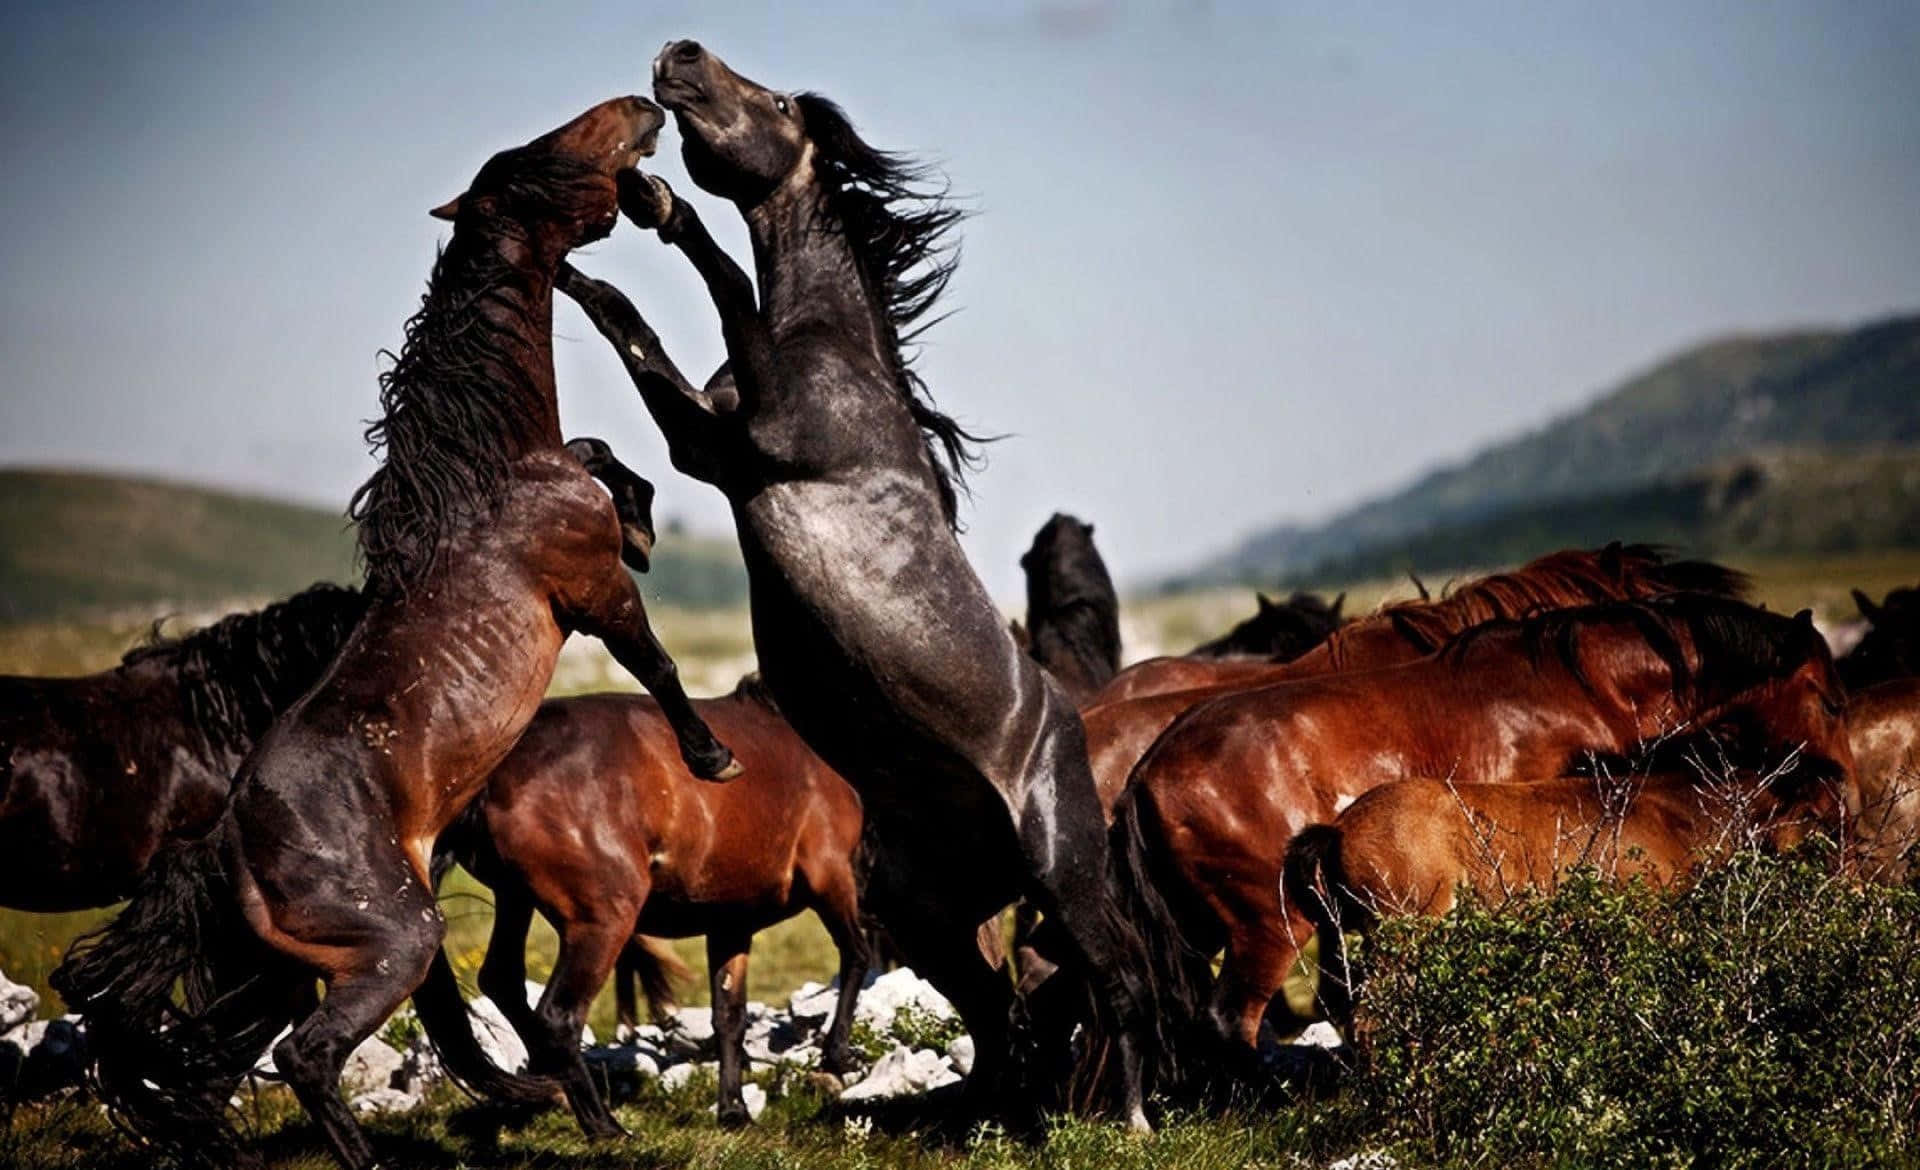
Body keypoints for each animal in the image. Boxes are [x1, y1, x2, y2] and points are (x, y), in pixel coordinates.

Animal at [54, 97, 740, 1170]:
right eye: (544, 155)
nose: (642, 112)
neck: (493, 476)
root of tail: (223, 845)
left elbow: (598, 451)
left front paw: (639, 511)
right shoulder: (586, 593)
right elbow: (658, 660)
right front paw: (713, 756)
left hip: (281, 970)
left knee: (211, 1068)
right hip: (393, 946)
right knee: (305, 1056)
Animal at [418, 676, 870, 1132]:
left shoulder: (730, 922)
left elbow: (729, 1016)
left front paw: (734, 1111)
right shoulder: (830, 874)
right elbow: (856, 955)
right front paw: (836, 1058)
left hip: (515, 898)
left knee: (503, 980)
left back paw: (556, 1090)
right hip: (603, 921)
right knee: (558, 1016)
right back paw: (604, 1126)